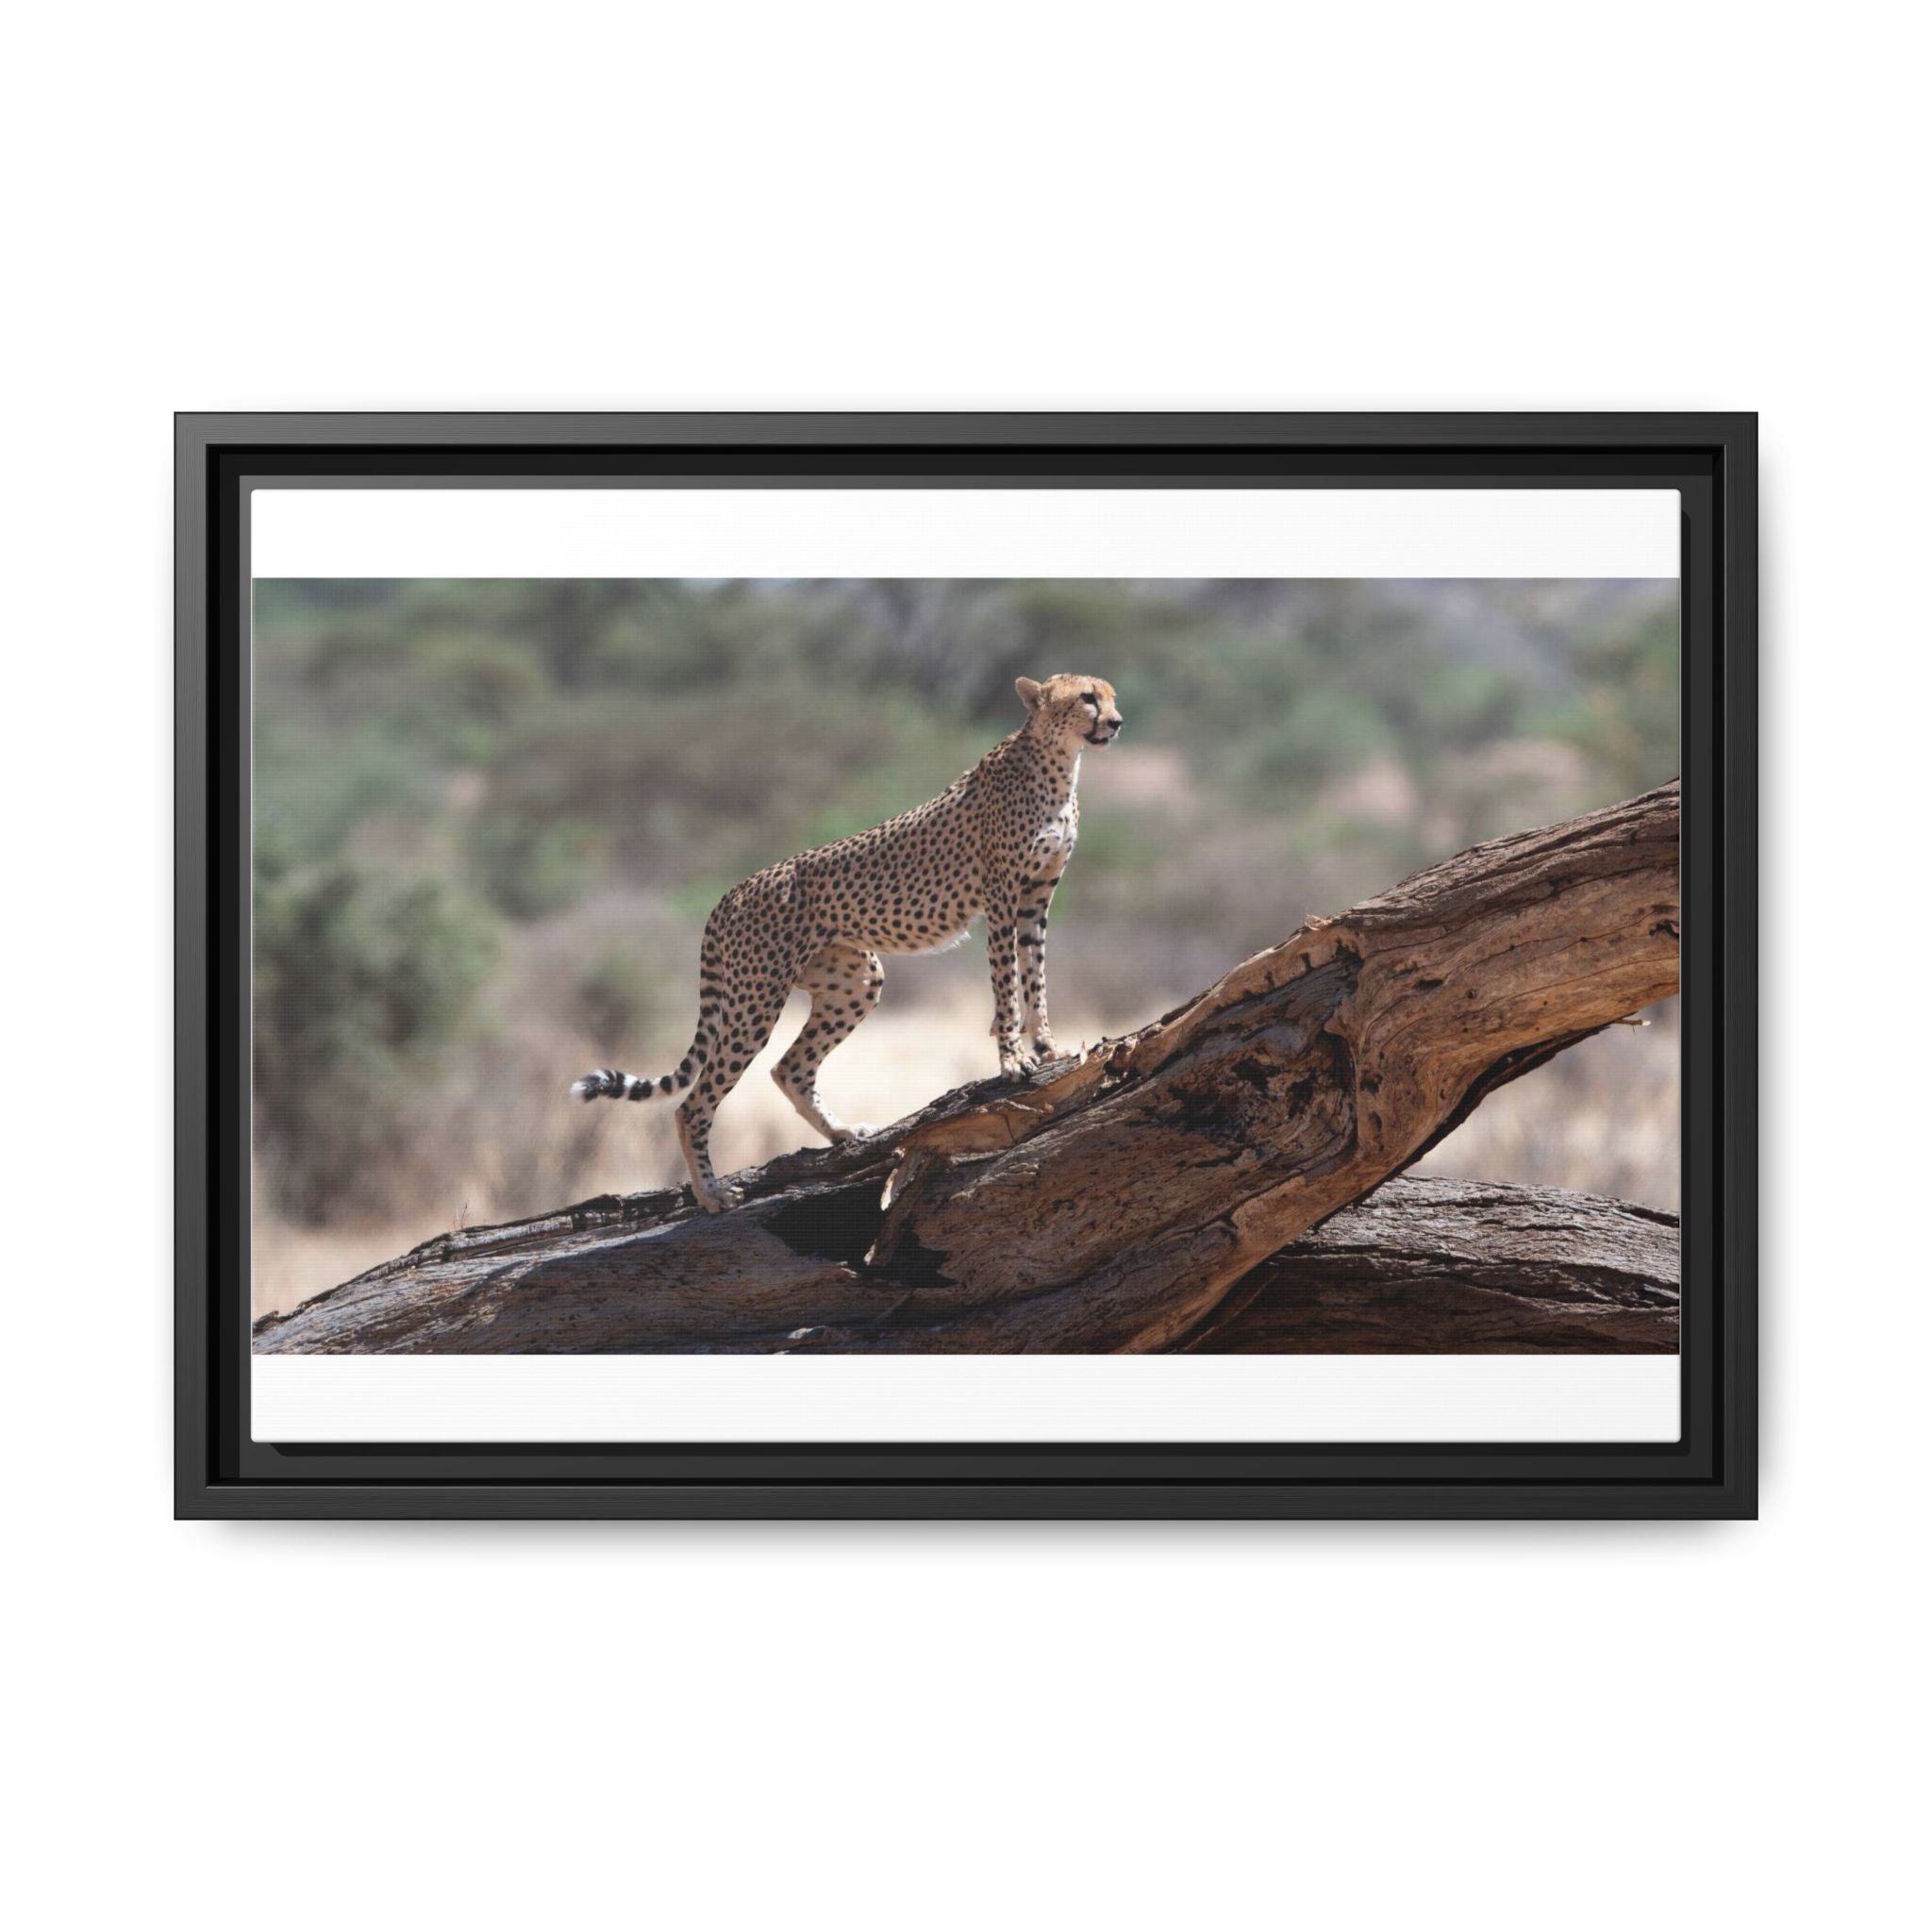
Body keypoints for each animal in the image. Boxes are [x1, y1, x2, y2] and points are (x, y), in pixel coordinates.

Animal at [571, 672, 1125, 1212]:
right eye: (1087, 698)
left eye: (1111, 696)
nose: (1117, 722)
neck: (1059, 762)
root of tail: (732, 892)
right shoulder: (1003, 898)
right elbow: (1007, 983)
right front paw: (1012, 1059)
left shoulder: (1036, 899)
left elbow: (1035, 976)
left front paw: (1047, 1045)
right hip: (756, 998)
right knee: (694, 1102)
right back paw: (711, 1194)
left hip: (855, 980)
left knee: (789, 1068)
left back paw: (841, 1133)